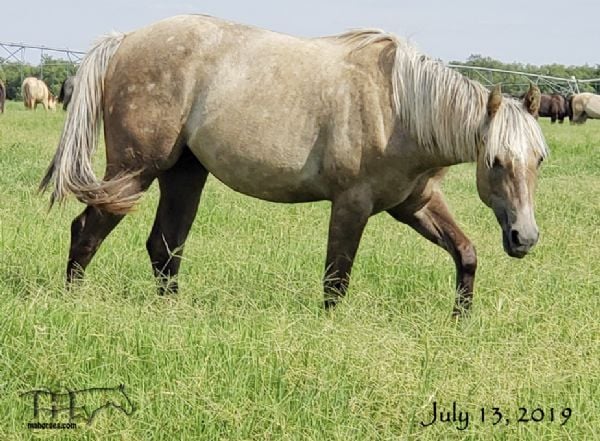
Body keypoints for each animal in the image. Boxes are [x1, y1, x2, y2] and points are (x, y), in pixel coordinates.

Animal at [38, 14, 548, 316]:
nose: (524, 237)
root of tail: (124, 40)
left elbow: (466, 253)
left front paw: (461, 320)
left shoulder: (413, 204)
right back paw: (72, 304)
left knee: (164, 247)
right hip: (133, 171)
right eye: (496, 161)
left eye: (539, 160)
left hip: (184, 175)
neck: (400, 107)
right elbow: (335, 281)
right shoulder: (352, 205)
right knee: (87, 230)